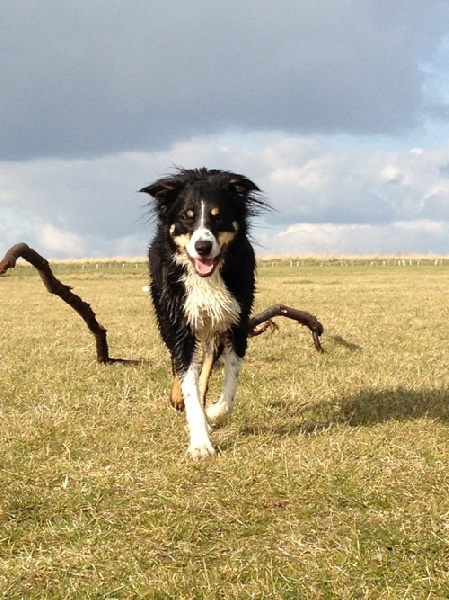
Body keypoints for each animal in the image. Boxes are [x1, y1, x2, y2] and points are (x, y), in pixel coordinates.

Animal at [140, 169, 266, 460]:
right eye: (186, 217)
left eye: (218, 216)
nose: (203, 246)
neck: (208, 276)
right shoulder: (180, 324)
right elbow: (188, 384)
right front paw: (200, 443)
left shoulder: (236, 323)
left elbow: (229, 384)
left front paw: (214, 413)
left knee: (206, 368)